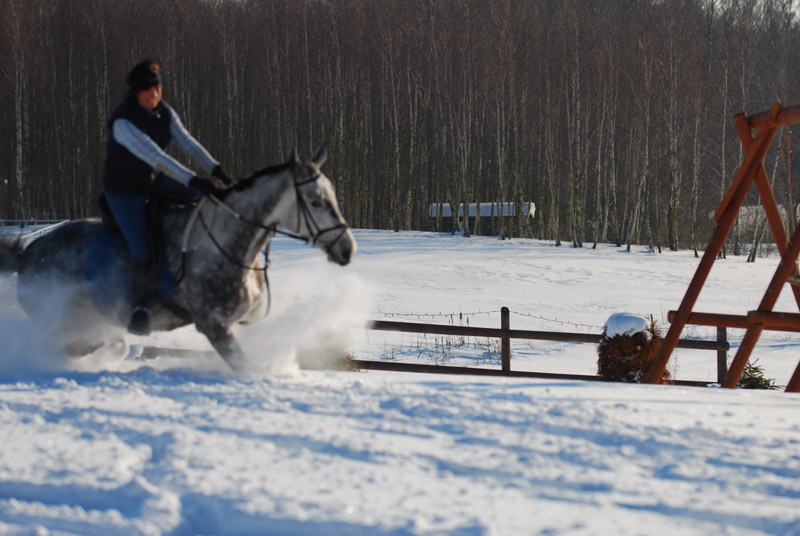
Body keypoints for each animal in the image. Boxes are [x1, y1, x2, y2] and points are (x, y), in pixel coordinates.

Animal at [0, 149, 356, 370]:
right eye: (316, 201)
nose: (347, 249)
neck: (228, 242)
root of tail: (26, 255)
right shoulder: (213, 325)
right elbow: (245, 366)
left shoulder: (246, 317)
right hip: (61, 315)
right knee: (69, 344)